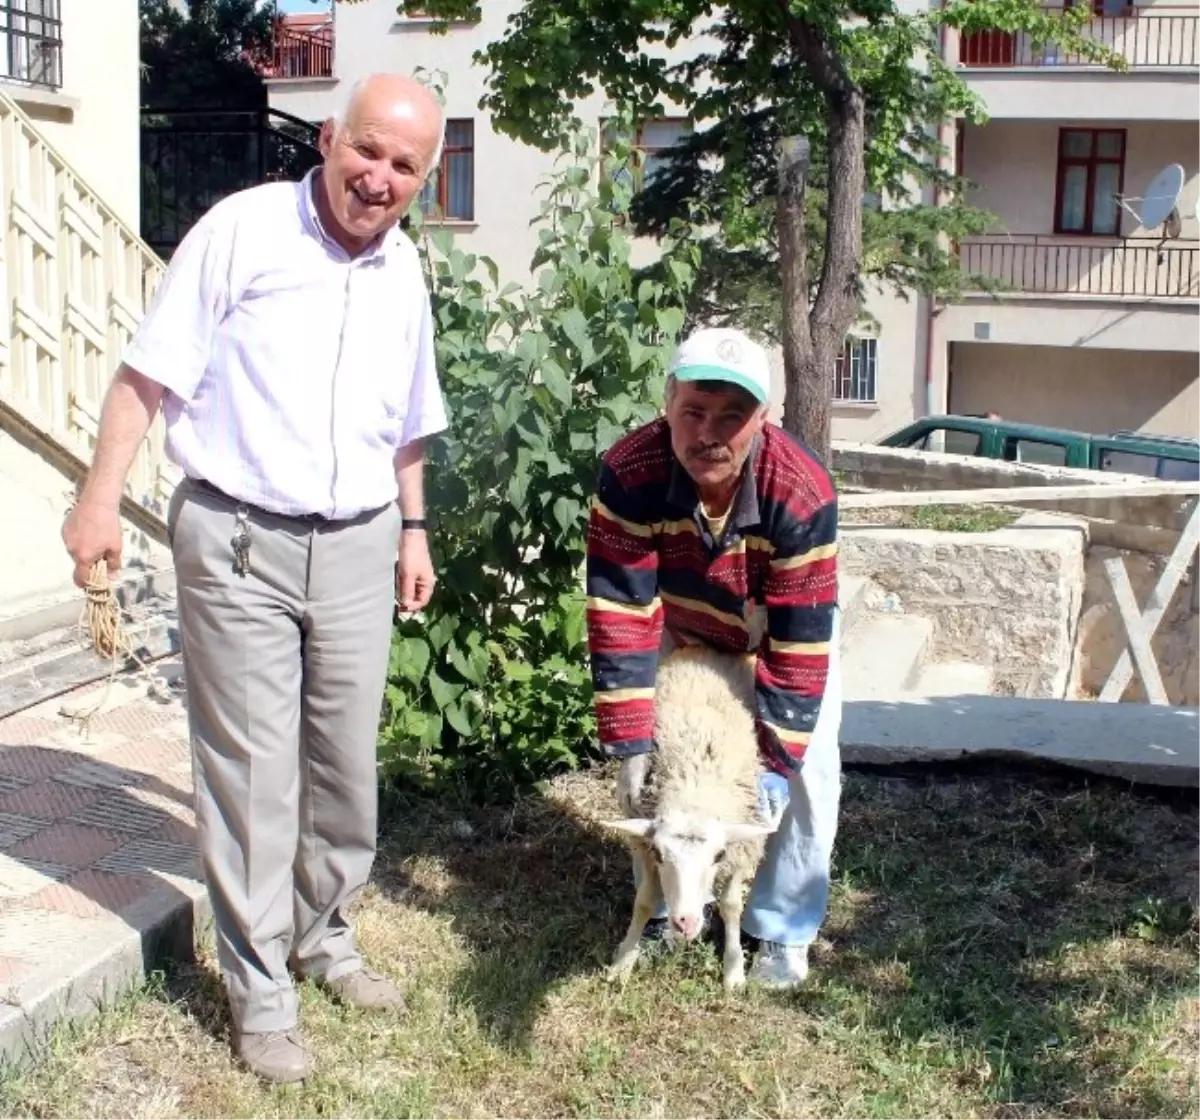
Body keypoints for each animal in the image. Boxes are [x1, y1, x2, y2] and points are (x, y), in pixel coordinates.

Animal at [600, 643, 777, 993]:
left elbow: (732, 906)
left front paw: (733, 969)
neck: (695, 784)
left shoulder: (743, 849)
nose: (685, 922)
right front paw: (624, 959)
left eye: (718, 856)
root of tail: (707, 649)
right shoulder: (646, 848)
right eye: (660, 854)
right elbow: (644, 901)